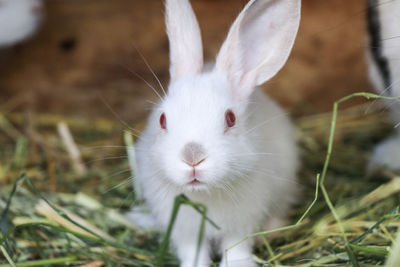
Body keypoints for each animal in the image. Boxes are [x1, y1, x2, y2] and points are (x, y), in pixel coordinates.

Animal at [134, 1, 300, 266]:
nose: (192, 157)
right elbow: (192, 251)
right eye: (162, 119)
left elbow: (236, 247)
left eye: (230, 118)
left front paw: (239, 264)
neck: (204, 193)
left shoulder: (241, 223)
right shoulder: (185, 229)